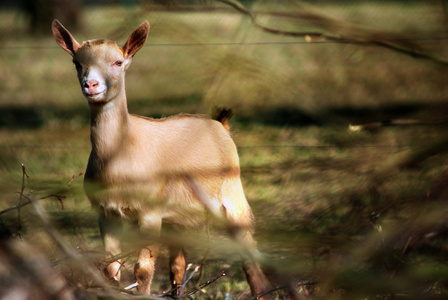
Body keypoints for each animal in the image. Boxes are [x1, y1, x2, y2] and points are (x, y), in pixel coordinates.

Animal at [51, 19, 270, 298]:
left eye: (118, 62)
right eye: (77, 63)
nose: (91, 85)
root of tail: (221, 124)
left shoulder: (150, 212)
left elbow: (143, 270)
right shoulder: (105, 214)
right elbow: (111, 268)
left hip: (233, 195)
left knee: (249, 257)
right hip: (177, 218)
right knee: (178, 264)